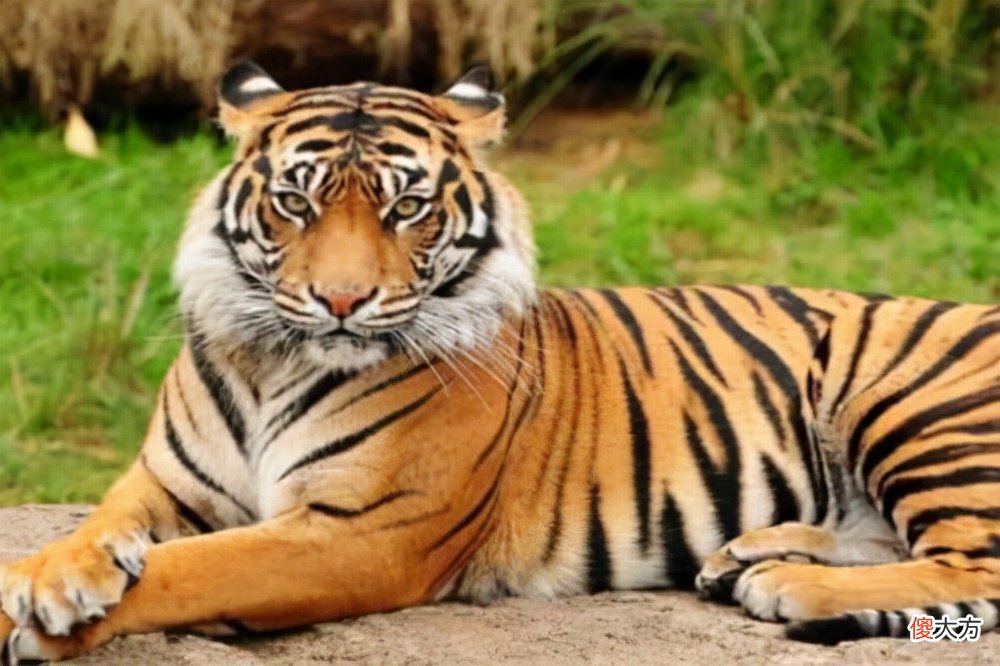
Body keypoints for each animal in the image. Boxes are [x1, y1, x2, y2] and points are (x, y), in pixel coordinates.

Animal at [1, 60, 999, 662]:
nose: (340, 301)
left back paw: (787, 584)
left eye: (405, 208)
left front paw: (33, 618)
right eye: (296, 201)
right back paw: (747, 555)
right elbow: (101, 529)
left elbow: (193, 570)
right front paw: (55, 577)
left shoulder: (360, 532)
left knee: (973, 564)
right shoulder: (164, 483)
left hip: (908, 405)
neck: (271, 361)